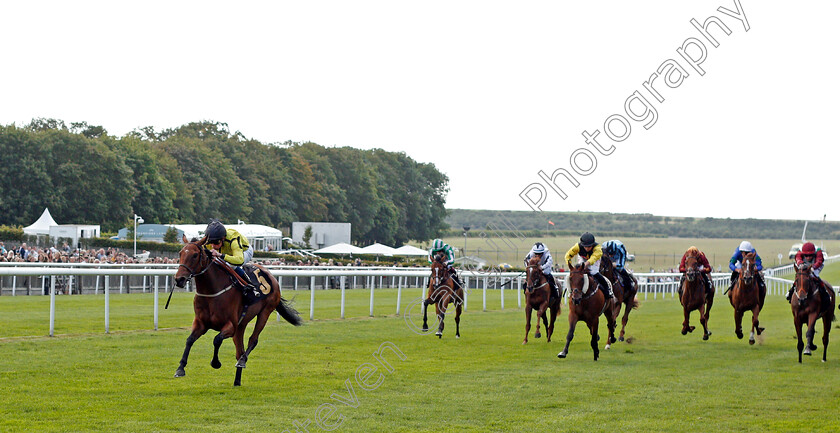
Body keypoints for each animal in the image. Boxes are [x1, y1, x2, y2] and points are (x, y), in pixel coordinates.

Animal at [171, 236, 302, 384]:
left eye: (194, 255)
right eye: (180, 254)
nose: (179, 279)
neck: (212, 291)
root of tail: (270, 275)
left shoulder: (230, 326)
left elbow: (217, 339)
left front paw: (216, 363)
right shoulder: (201, 323)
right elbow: (189, 340)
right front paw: (180, 369)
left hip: (265, 312)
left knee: (252, 340)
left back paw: (242, 361)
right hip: (241, 324)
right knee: (240, 350)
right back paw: (237, 381)